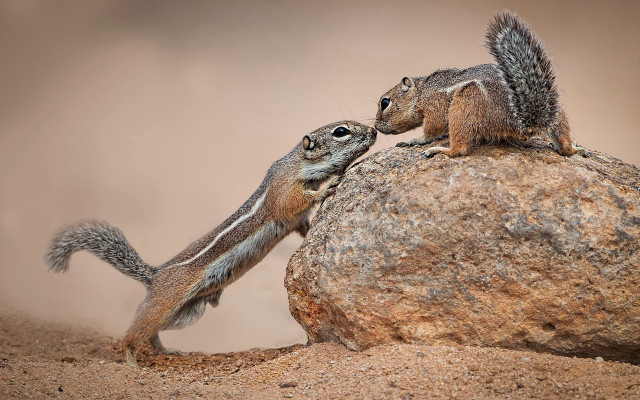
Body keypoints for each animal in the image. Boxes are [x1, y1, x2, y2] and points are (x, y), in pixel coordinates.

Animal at [44, 121, 376, 367]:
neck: (298, 164)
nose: (373, 131)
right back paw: (130, 361)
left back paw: (166, 352)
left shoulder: (295, 221)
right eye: (341, 131)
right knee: (135, 331)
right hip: (165, 304)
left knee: (152, 334)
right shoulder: (285, 194)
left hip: (188, 312)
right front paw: (329, 188)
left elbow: (303, 227)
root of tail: (154, 274)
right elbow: (294, 202)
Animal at [375, 12, 586, 158]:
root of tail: (527, 121)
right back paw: (574, 147)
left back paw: (441, 150)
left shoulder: (435, 106)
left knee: (460, 150)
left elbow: (433, 128)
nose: (376, 126)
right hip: (556, 109)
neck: (422, 90)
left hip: (465, 102)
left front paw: (417, 140)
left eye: (385, 102)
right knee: (564, 145)